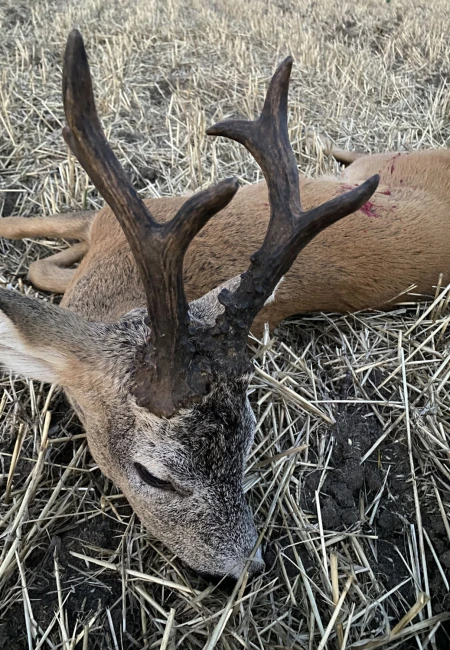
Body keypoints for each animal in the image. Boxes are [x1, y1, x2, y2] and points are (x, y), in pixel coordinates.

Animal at [1, 29, 449, 580]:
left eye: (249, 442)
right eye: (153, 476)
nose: (249, 566)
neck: (112, 283)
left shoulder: (110, 222)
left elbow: (37, 258)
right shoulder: (114, 218)